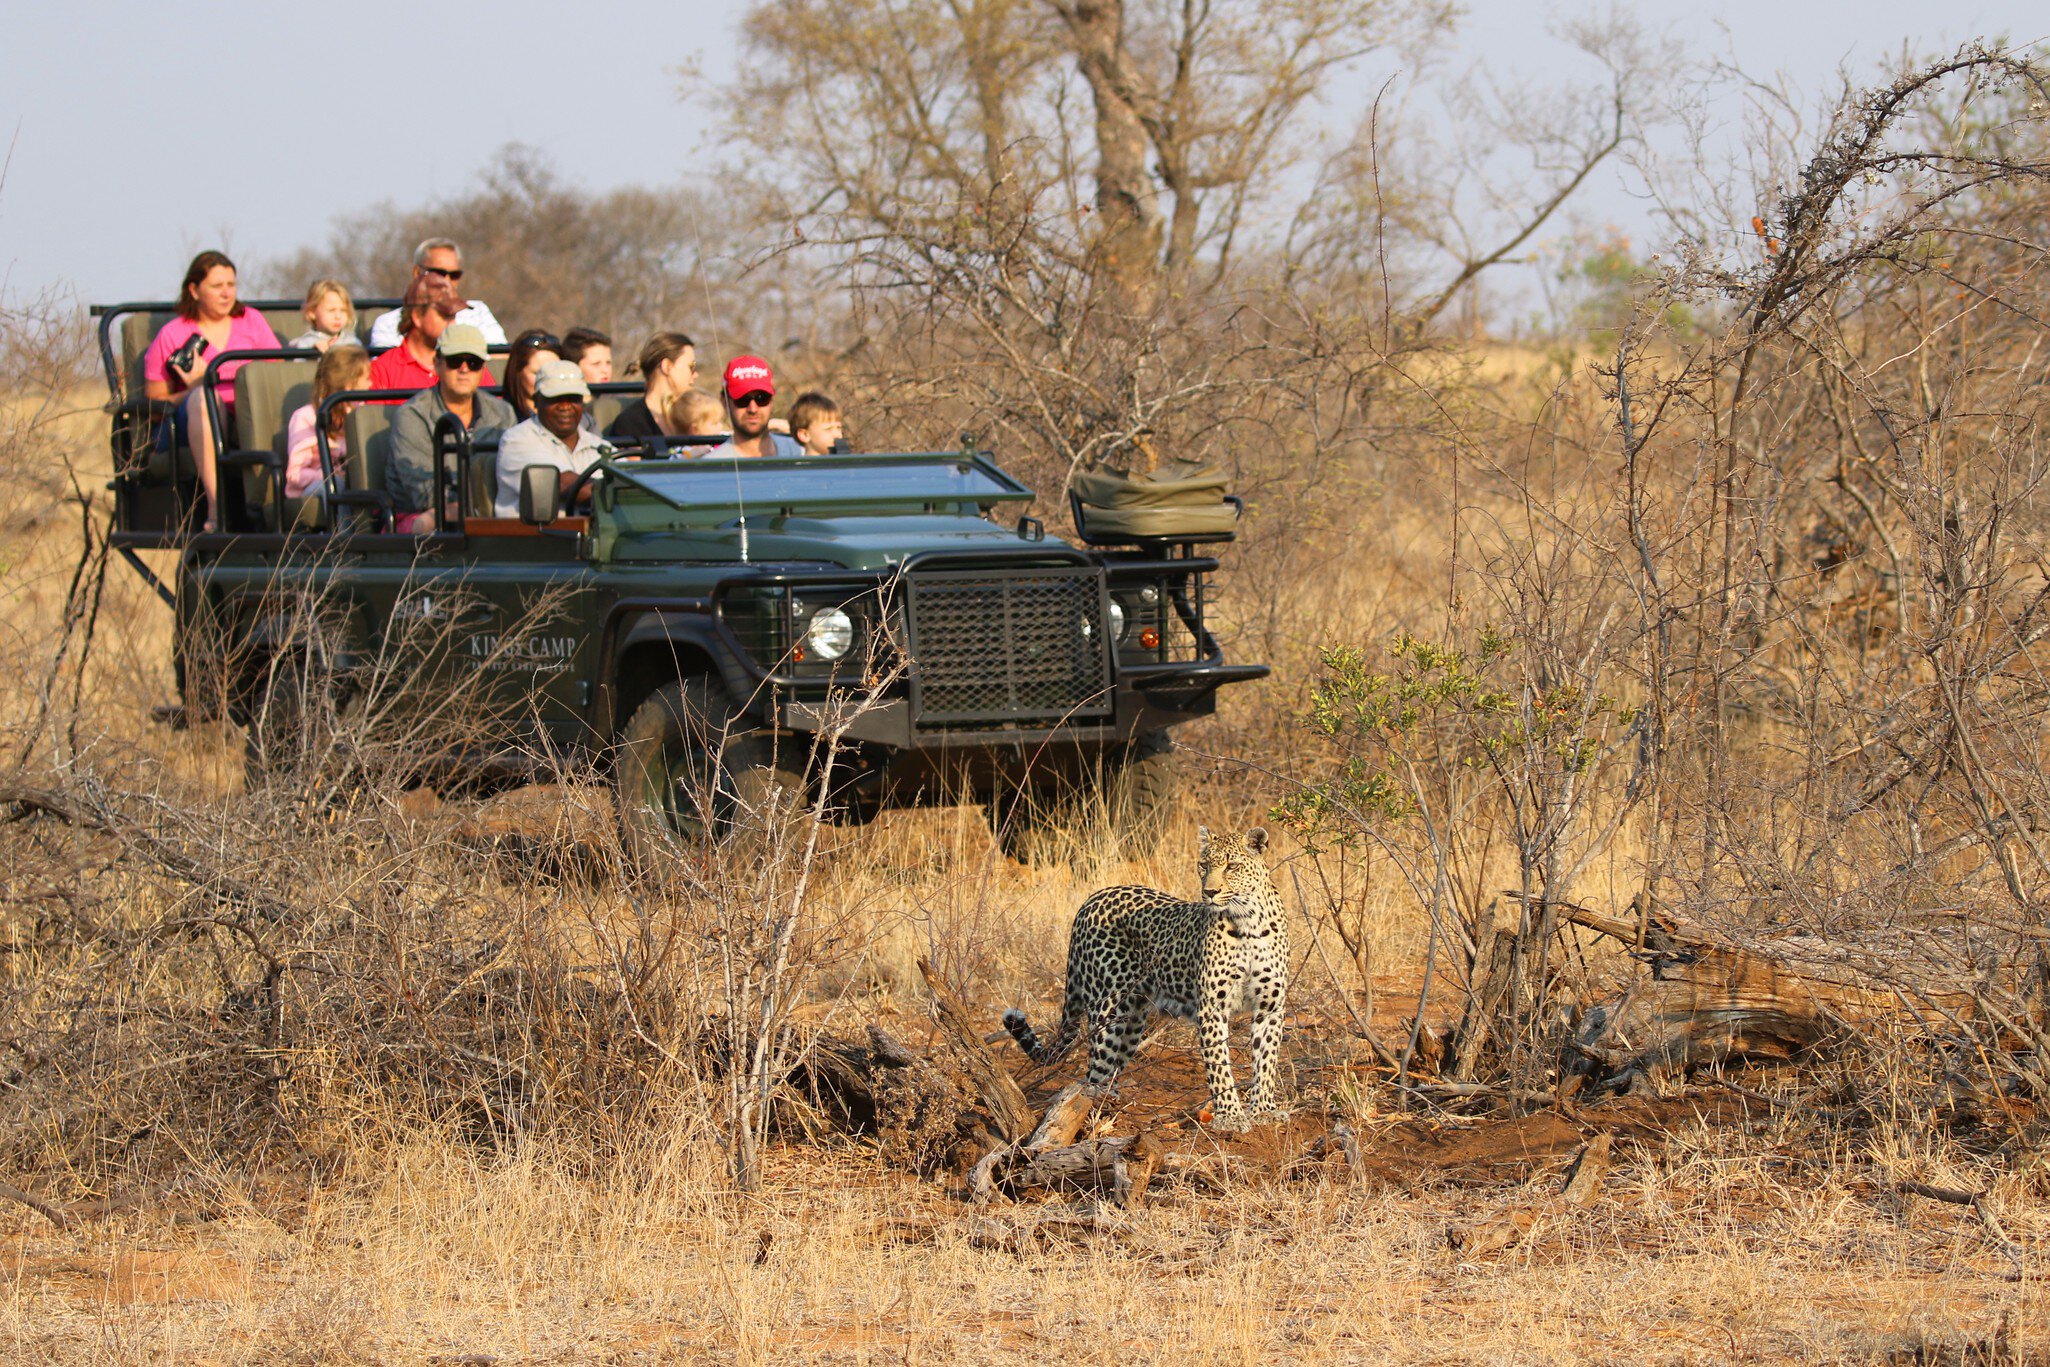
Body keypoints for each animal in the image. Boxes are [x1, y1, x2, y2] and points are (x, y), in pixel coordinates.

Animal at [1002, 825, 1289, 1132]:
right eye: (1204, 865)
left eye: (1232, 866)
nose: (1209, 892)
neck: (1249, 922)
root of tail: (1089, 901)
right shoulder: (1213, 1008)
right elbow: (1219, 1064)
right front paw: (1231, 1115)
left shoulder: (1270, 1007)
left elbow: (1266, 1060)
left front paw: (1265, 1110)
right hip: (1107, 1009)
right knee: (1095, 1071)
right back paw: (1099, 1108)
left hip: (1134, 1017)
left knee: (1112, 1064)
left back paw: (1112, 1100)